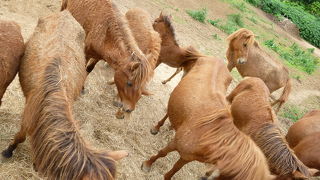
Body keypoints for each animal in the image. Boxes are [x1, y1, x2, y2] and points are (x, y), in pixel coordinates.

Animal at [142, 51, 276, 179]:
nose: (205, 176)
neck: (209, 136)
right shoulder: (175, 144)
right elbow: (162, 153)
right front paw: (147, 164)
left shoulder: (187, 157)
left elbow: (175, 169)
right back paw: (157, 127)